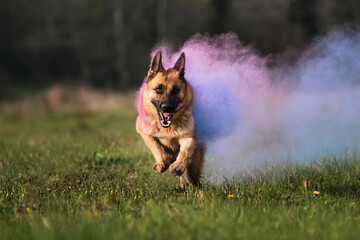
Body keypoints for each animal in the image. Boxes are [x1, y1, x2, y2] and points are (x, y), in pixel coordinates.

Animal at [136, 51, 204, 188]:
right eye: (158, 89)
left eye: (175, 90)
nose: (166, 107)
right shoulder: (144, 132)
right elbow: (158, 151)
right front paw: (160, 166)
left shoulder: (189, 138)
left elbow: (185, 152)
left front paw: (178, 166)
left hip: (193, 169)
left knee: (194, 179)